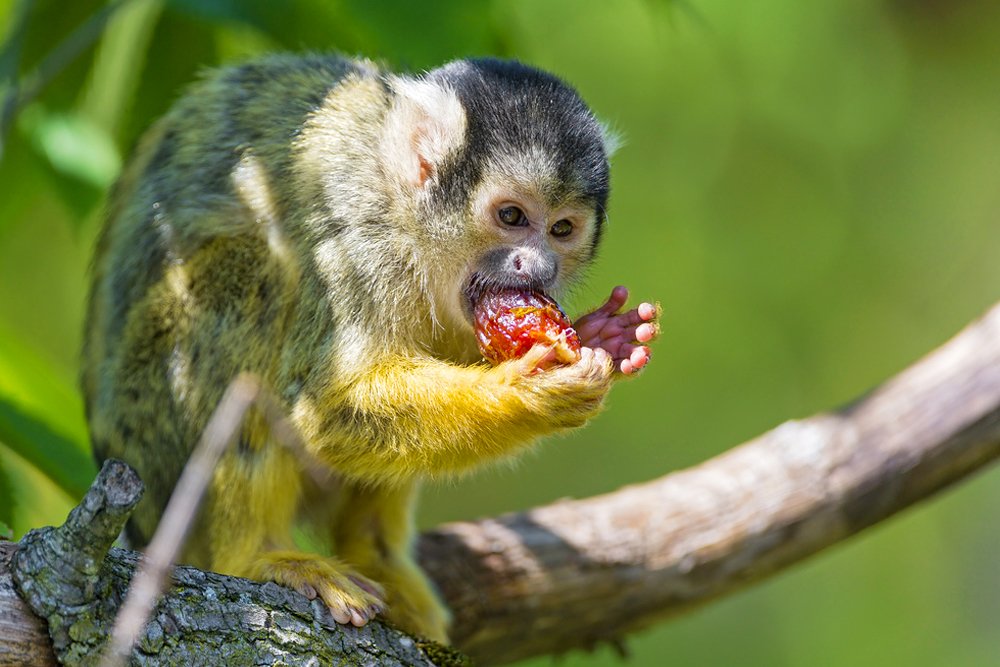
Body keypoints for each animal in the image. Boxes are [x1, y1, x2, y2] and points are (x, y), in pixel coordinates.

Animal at [84, 56, 656, 640]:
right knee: (257, 269)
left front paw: (600, 335)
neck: (410, 225)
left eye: (561, 229)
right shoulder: (358, 237)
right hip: (152, 428)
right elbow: (327, 410)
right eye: (512, 216)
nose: (537, 267)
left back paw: (375, 554)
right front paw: (527, 393)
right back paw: (257, 556)